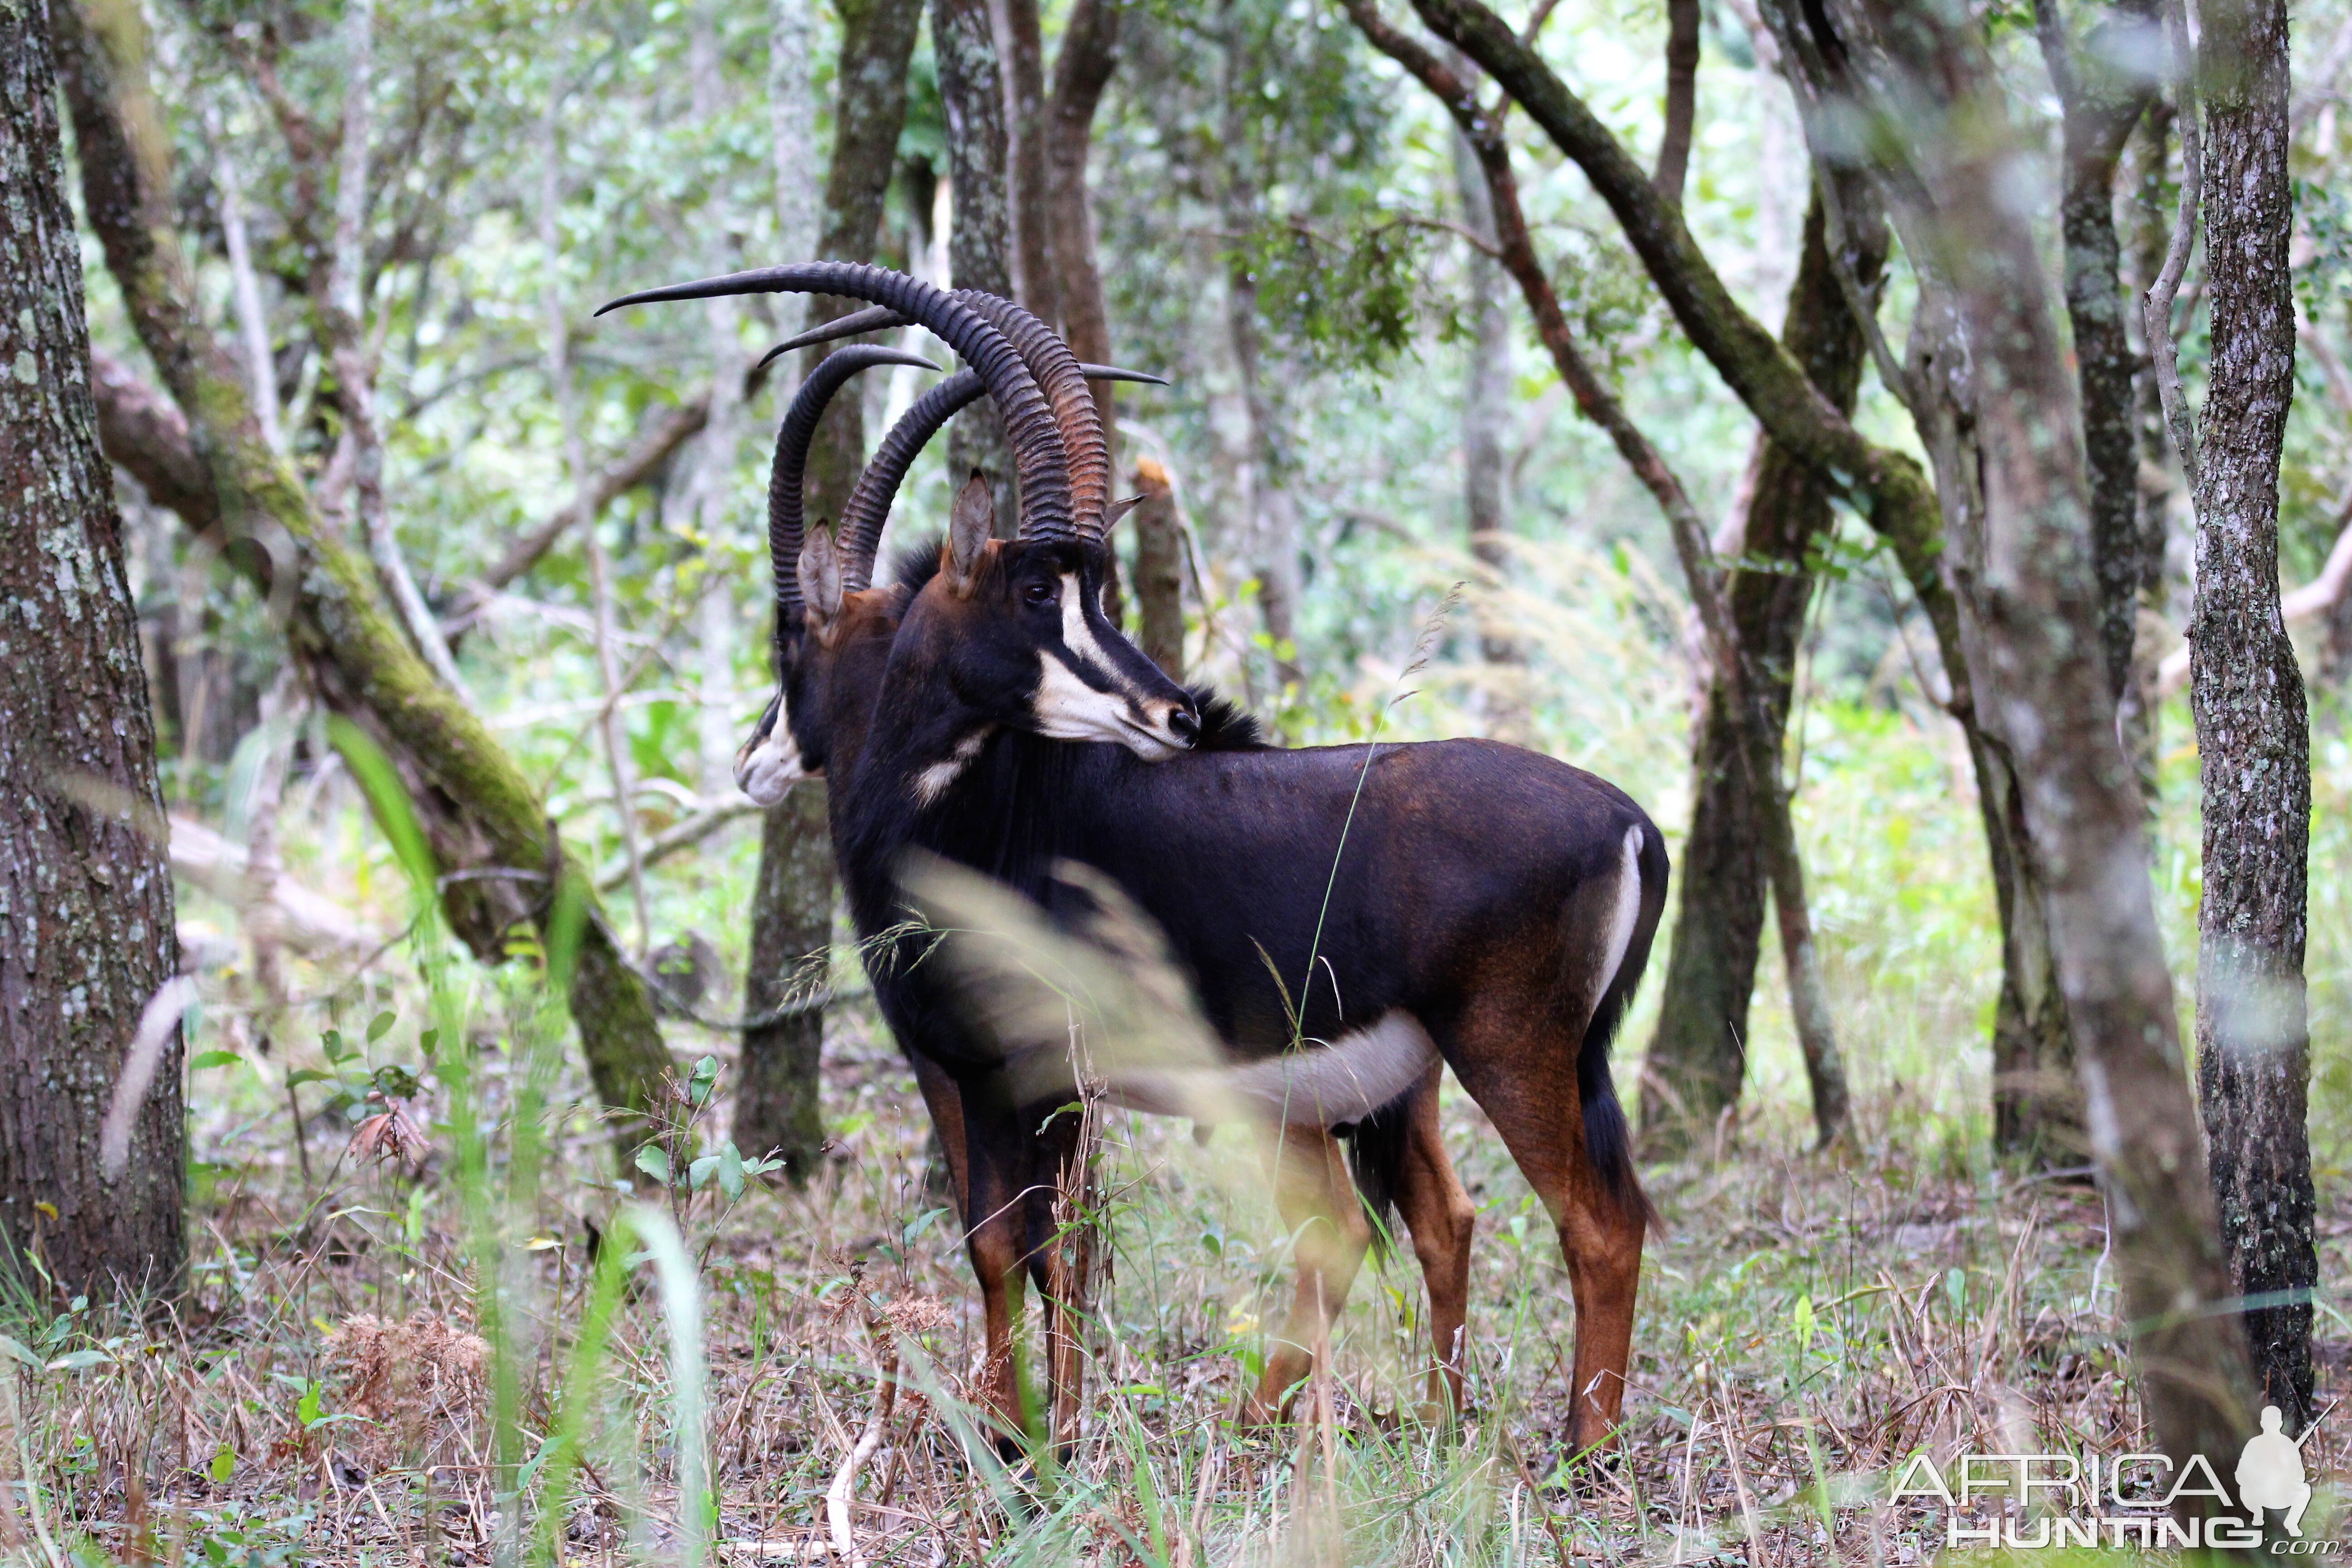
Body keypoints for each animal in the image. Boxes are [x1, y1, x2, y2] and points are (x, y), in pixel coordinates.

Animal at [607, 267, 1675, 1457]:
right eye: (1042, 588)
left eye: (792, 642)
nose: (1175, 714)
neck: (979, 808)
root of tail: (1630, 819)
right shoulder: (1052, 1083)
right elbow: (1060, 1250)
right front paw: (1050, 1425)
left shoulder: (985, 1070)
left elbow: (1003, 1243)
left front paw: (1019, 1438)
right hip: (1414, 1074)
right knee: (1445, 1217)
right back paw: (1430, 1421)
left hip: (1505, 1051)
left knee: (1592, 1222)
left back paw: (1574, 1448)